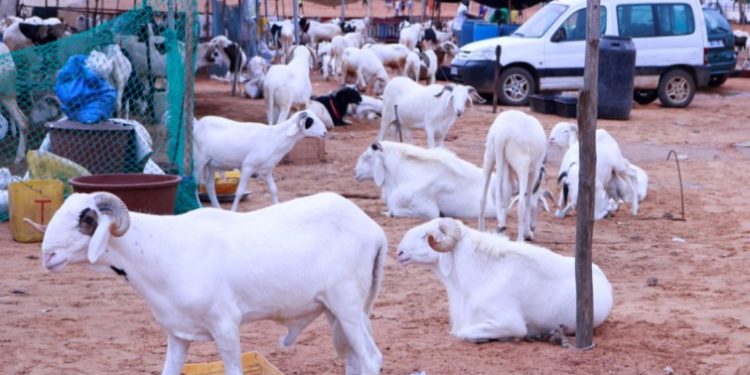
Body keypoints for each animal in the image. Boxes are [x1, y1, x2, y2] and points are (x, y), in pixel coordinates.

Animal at [33, 191, 388, 375]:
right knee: (355, 359)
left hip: (347, 304)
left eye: (87, 220)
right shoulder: (177, 334)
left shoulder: (225, 325)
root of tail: (373, 230)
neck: (161, 249)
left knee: (371, 359)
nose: (48, 256)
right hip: (335, 310)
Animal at [192, 110, 328, 213]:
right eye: (310, 121)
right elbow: (239, 192)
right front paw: (233, 211)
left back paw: (217, 208)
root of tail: (198, 124)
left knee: (209, 186)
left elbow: (274, 190)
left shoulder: (267, 170)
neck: (274, 137)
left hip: (211, 164)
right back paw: (199, 207)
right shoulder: (247, 167)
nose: (325, 133)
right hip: (200, 160)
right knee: (195, 183)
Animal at [482, 110, 548, 242]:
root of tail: (502, 132)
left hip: (490, 156)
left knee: (483, 199)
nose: (533, 227)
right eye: (539, 206)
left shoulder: (508, 168)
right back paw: (520, 239)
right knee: (521, 205)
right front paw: (527, 233)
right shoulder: (533, 172)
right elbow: (528, 203)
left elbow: (507, 196)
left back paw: (483, 230)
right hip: (522, 165)